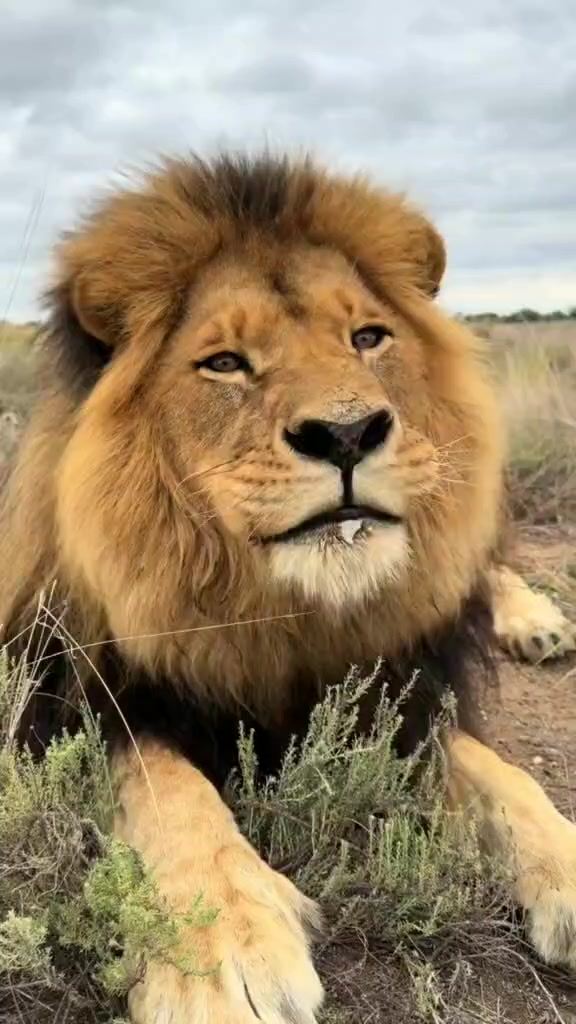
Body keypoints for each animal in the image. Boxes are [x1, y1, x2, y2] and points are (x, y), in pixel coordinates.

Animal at [1, 152, 575, 1023]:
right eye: (226, 363)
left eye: (368, 338)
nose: (346, 433)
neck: (284, 615)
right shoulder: (69, 699)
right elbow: (163, 784)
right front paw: (220, 947)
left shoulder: (400, 692)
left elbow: (499, 774)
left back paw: (538, 620)